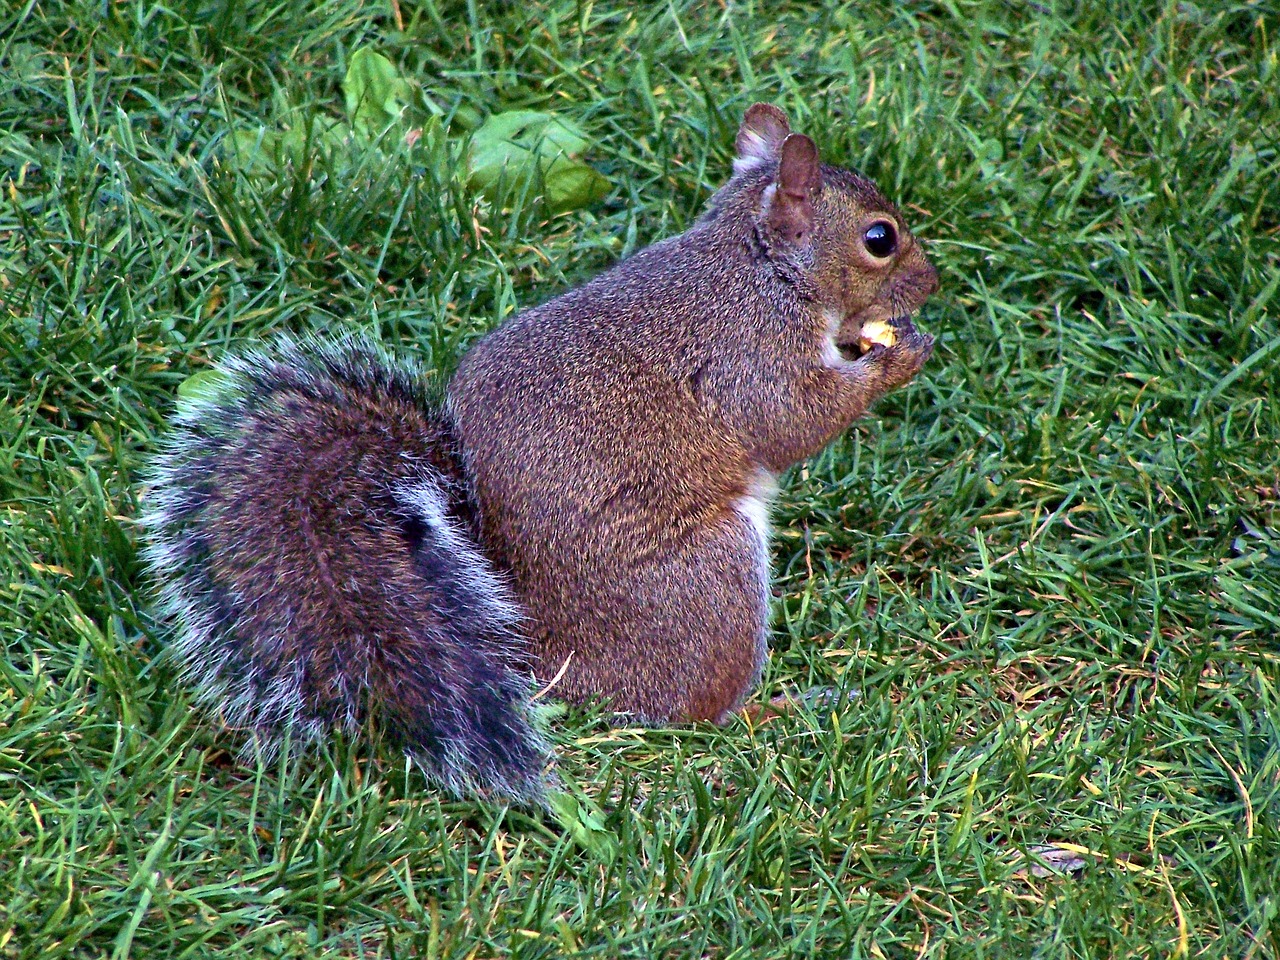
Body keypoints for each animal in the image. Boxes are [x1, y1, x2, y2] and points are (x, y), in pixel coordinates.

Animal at [142, 103, 942, 803]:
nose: (931, 284)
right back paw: (768, 708)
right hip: (712, 583)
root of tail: (540, 660)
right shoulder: (748, 358)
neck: (760, 266)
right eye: (880, 239)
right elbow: (793, 419)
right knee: (689, 710)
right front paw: (897, 357)